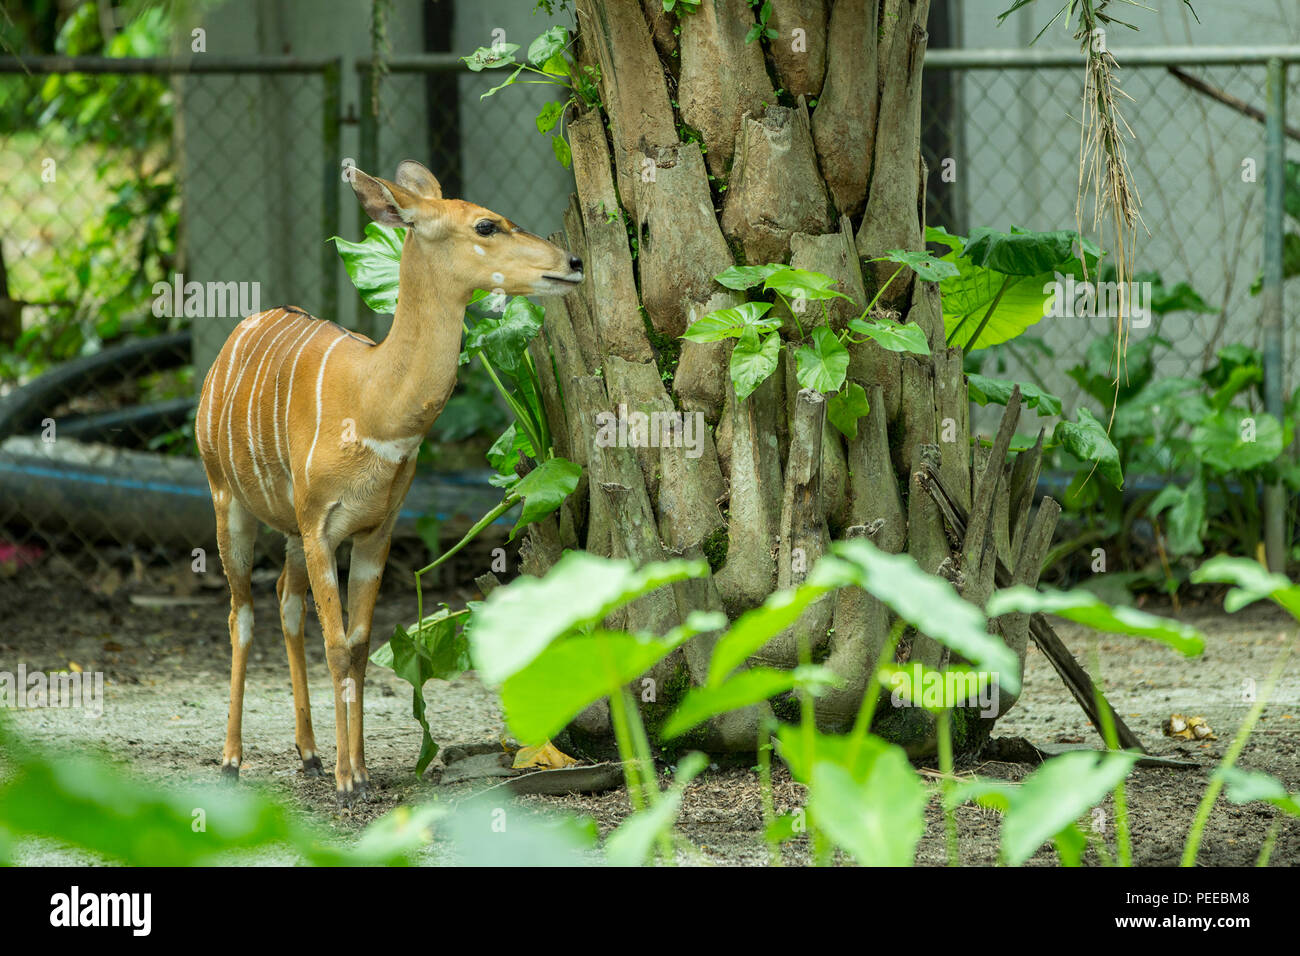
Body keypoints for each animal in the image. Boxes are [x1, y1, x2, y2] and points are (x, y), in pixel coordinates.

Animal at [196, 160, 585, 806]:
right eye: (487, 224)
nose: (573, 261)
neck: (375, 403)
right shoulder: (323, 527)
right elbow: (337, 645)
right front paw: (346, 781)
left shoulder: (374, 532)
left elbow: (357, 646)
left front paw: (359, 771)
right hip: (229, 501)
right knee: (241, 612)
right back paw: (230, 759)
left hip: (290, 530)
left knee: (285, 603)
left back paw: (308, 754)